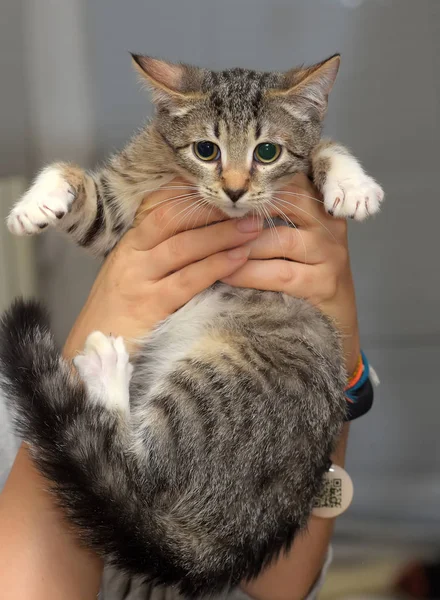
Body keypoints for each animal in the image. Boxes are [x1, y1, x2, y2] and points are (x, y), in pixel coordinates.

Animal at [0, 55, 382, 596]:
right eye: (207, 150)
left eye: (267, 152)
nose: (236, 189)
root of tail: (232, 543)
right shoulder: (116, 219)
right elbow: (81, 190)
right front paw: (36, 200)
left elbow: (321, 148)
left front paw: (352, 185)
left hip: (220, 379)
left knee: (138, 469)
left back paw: (106, 370)